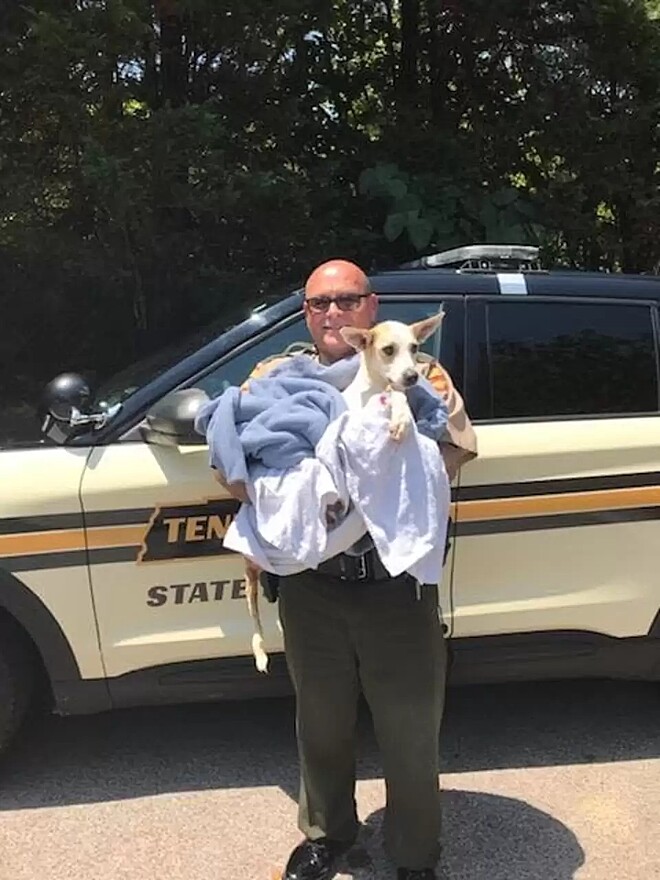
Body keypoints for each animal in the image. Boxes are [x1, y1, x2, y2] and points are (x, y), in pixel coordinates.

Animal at [241, 312, 444, 672]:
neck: (373, 389)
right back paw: (261, 651)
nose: (411, 376)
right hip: (250, 569)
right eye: (388, 349)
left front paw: (402, 417)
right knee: (251, 600)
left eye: (414, 347)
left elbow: (399, 401)